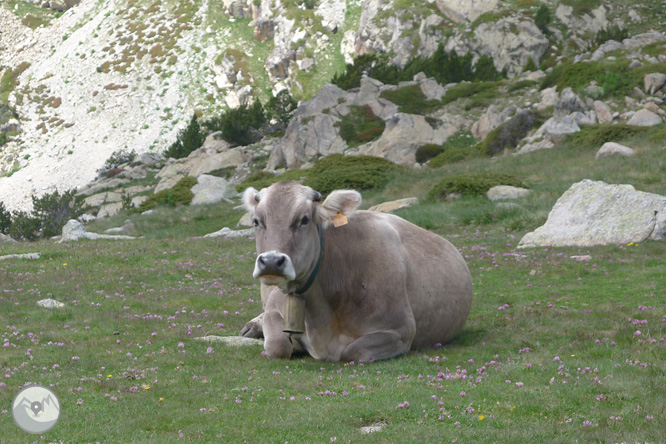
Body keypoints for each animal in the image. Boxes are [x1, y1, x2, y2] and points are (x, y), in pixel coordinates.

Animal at [239, 180, 472, 360]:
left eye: (304, 219)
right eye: (256, 221)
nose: (271, 261)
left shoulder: (400, 330)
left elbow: (352, 351)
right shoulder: (275, 309)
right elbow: (278, 344)